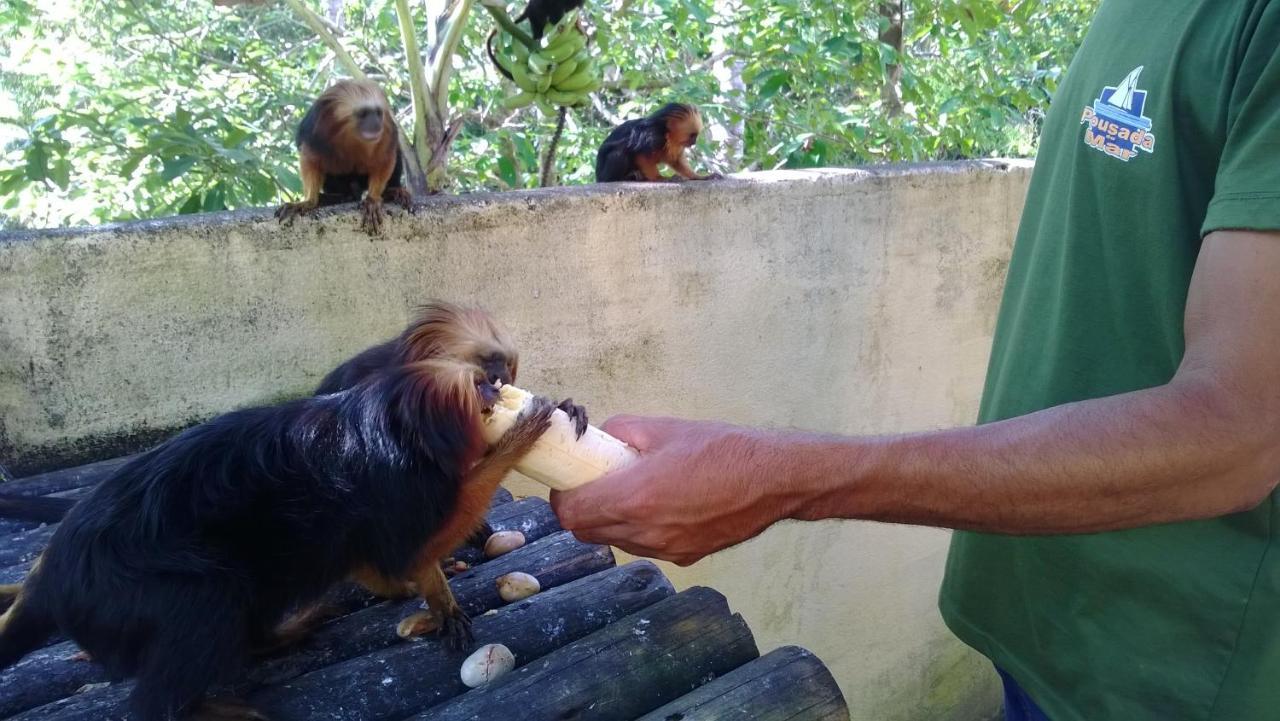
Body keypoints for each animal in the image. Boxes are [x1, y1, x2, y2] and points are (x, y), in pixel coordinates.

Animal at [1, 358, 560, 717]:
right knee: (205, 598)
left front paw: (429, 595)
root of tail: (53, 578)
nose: (495, 387)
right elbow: (408, 544)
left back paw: (274, 636)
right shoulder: (400, 484)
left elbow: (373, 552)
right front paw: (519, 438)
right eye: (480, 390)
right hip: (129, 593)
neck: (398, 429)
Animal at [275, 80, 409, 235]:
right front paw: (309, 201)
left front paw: (372, 200)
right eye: (363, 114)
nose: (376, 124)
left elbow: (386, 159)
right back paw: (340, 197)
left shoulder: (386, 132)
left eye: (378, 113)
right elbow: (311, 160)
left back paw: (392, 191)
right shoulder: (315, 132)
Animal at [593, 103, 727, 183]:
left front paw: (700, 177)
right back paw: (621, 178)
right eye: (692, 136)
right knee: (618, 153)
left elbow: (677, 161)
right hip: (604, 174)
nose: (694, 142)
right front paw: (660, 178)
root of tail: (598, 176)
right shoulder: (653, 136)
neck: (666, 134)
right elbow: (640, 155)